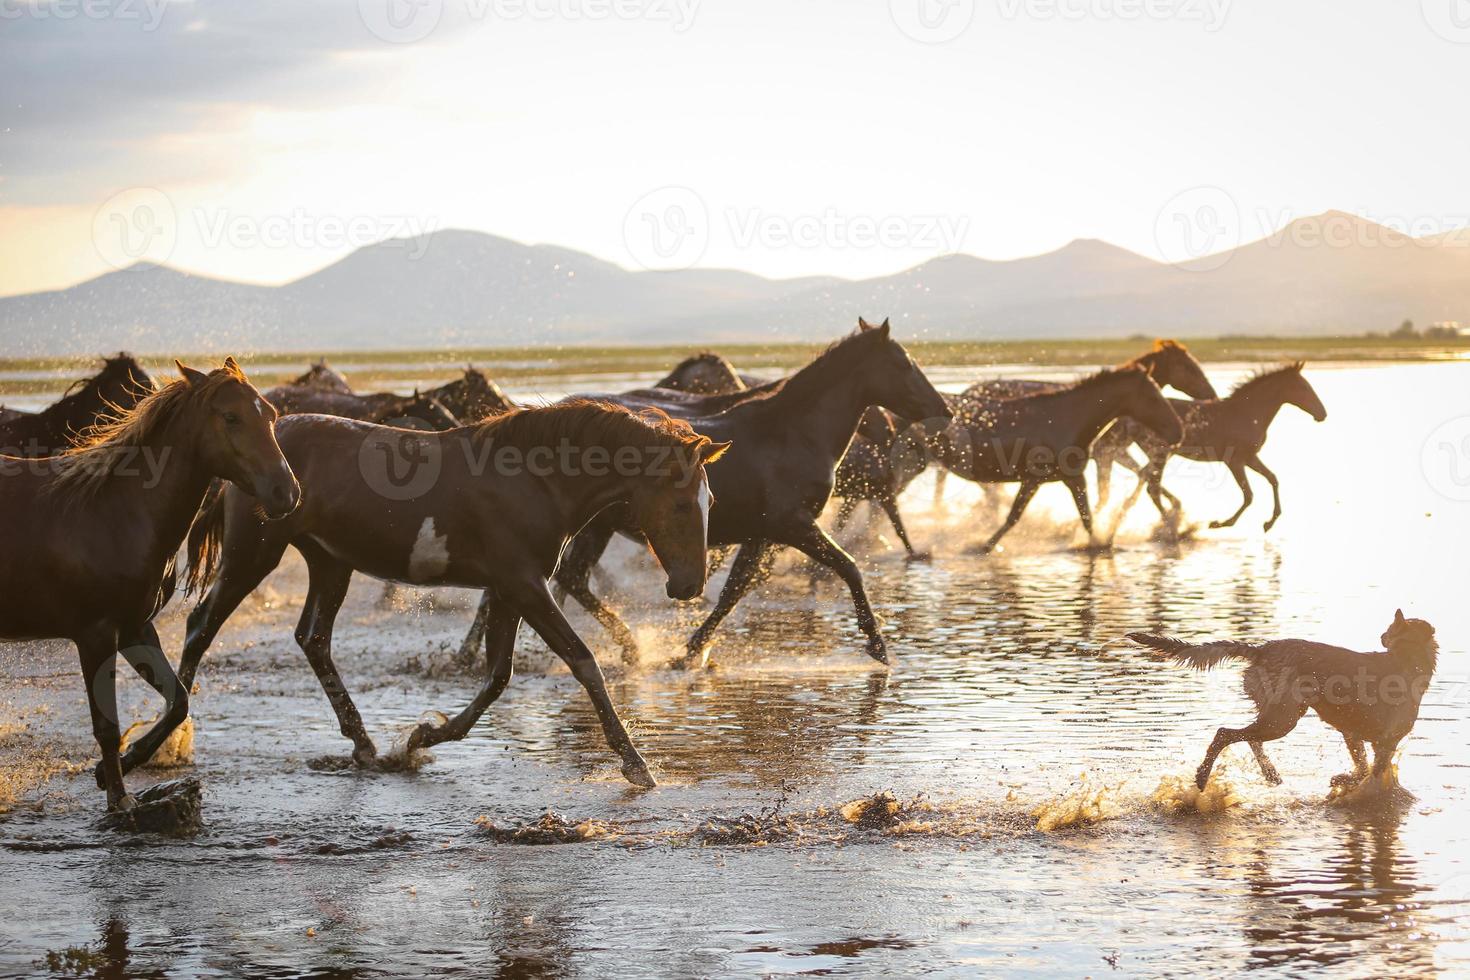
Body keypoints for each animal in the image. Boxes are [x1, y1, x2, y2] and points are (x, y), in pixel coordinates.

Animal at [180, 399, 732, 787]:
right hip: (253, 554)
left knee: (313, 640)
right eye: (681, 504)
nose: (689, 585)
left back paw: (363, 743)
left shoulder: (508, 589)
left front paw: (424, 736)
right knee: (199, 627)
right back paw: (172, 735)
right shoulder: (524, 585)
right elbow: (582, 661)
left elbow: (498, 676)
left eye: (710, 501)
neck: (533, 478)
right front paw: (635, 764)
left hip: (330, 562)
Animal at [523, 320, 946, 667]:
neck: (795, 434)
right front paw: (878, 647)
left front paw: (691, 651)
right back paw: (628, 647)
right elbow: (849, 566)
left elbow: (735, 590)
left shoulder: (764, 535)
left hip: (598, 526)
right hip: (597, 527)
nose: (944, 408)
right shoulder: (793, 524)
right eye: (905, 363)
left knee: (572, 579)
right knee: (572, 578)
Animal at [1123, 362, 1334, 531]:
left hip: (1159, 455)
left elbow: (1273, 479)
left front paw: (1269, 522)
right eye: (1304, 387)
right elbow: (1249, 495)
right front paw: (1220, 523)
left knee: (1147, 479)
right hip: (1161, 453)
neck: (1248, 414)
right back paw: (1171, 530)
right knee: (1152, 487)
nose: (1322, 413)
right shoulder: (1234, 461)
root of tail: (1129, 419)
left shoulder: (1250, 457)